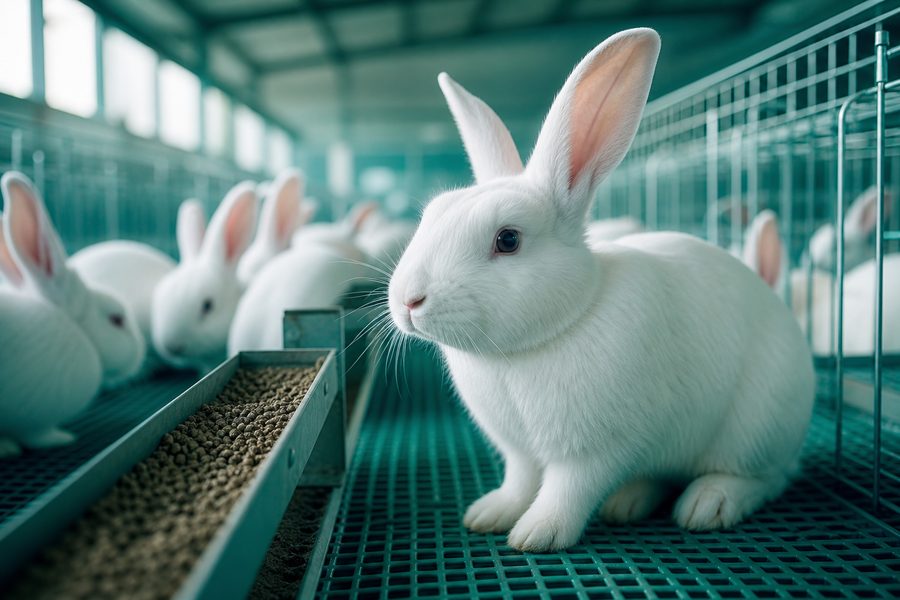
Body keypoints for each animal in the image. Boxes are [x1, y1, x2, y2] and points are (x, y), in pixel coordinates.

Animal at [387, 29, 814, 552]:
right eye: (431, 215)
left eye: (507, 240)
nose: (407, 301)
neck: (532, 347)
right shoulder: (519, 450)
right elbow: (520, 481)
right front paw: (489, 514)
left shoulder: (593, 451)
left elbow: (567, 491)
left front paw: (536, 533)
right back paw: (627, 502)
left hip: (757, 430)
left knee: (767, 478)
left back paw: (708, 503)